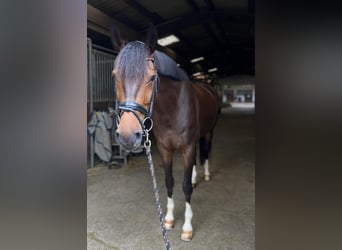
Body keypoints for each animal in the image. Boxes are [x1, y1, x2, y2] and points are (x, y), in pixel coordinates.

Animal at [111, 24, 219, 240]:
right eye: (114, 75)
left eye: (152, 78)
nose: (127, 135)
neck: (173, 107)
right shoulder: (164, 149)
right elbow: (169, 182)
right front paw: (168, 219)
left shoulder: (187, 147)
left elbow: (185, 186)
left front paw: (187, 227)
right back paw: (195, 177)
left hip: (208, 132)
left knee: (206, 151)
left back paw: (206, 174)